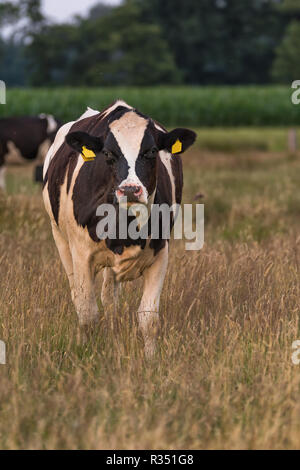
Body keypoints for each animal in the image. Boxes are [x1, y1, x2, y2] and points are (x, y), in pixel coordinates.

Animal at [42, 100, 197, 356]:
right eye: (107, 153)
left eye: (151, 151)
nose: (130, 189)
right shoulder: (81, 254)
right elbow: (87, 313)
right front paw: (85, 354)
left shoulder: (160, 254)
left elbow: (148, 318)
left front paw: (151, 359)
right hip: (60, 240)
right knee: (78, 296)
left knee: (109, 298)